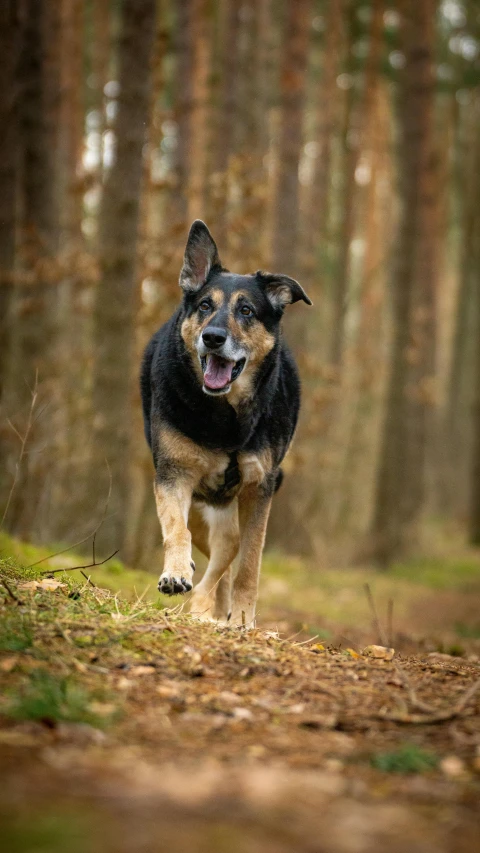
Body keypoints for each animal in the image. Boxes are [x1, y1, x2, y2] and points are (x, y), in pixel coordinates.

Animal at [140, 221, 312, 624]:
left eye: (246, 310)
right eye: (205, 305)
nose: (213, 338)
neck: (225, 418)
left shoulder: (259, 489)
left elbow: (249, 563)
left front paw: (244, 620)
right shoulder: (173, 476)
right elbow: (176, 530)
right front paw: (175, 572)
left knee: (229, 552)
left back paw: (211, 608)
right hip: (204, 508)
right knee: (210, 548)